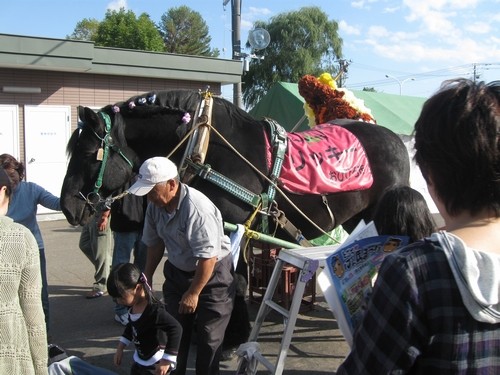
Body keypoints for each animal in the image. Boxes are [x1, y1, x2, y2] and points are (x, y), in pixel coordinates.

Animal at [59, 90, 410, 352]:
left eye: (89, 153)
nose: (68, 206)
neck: (204, 147)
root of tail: (394, 139)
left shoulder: (234, 229)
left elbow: (235, 283)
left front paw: (231, 337)